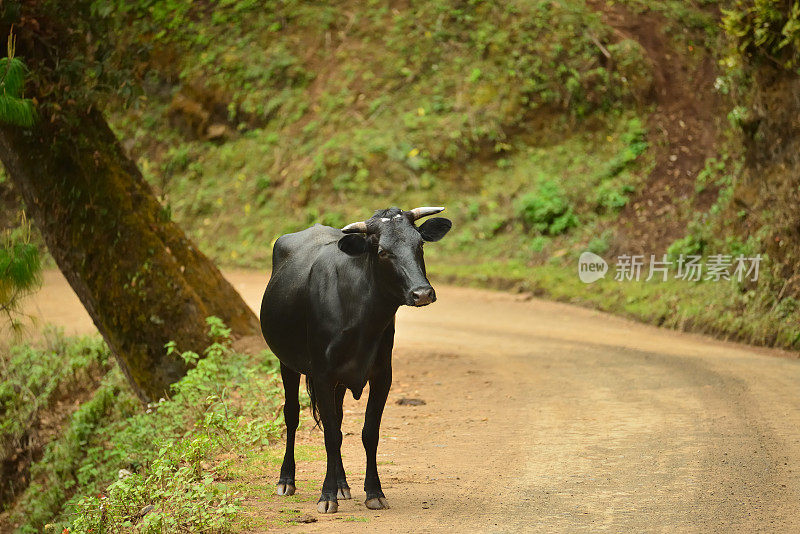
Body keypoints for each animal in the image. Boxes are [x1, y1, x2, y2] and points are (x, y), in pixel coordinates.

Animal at [260, 206, 454, 516]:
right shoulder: (323, 375)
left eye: (420, 245)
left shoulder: (382, 375)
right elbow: (330, 435)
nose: (422, 293)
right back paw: (287, 480)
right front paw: (326, 496)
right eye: (383, 251)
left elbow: (367, 433)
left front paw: (373, 492)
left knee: (337, 420)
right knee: (292, 415)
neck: (361, 317)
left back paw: (342, 484)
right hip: (286, 363)